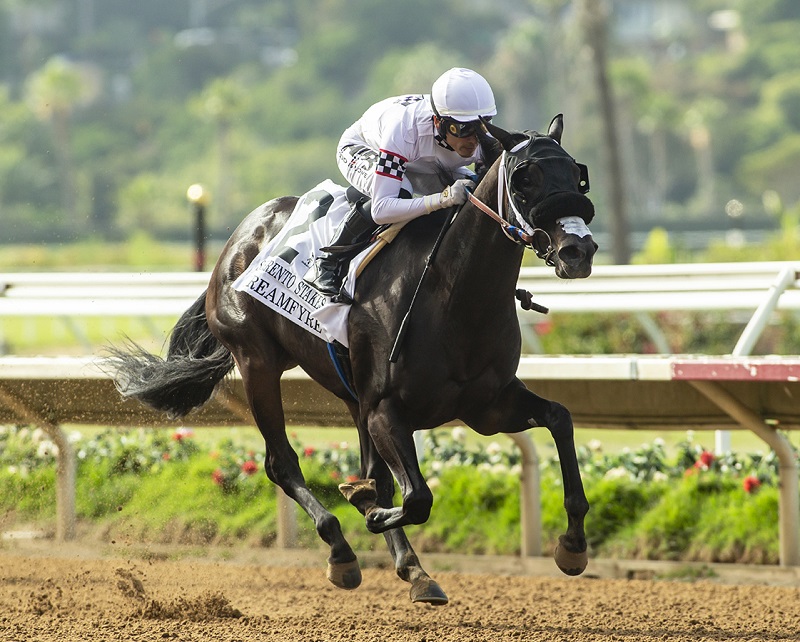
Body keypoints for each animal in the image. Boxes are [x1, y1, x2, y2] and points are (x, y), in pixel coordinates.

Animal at [109, 116, 596, 604]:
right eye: (524, 179)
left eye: (577, 175)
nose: (579, 250)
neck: (454, 295)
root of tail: (238, 239)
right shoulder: (385, 408)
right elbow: (416, 497)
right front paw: (367, 508)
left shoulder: (487, 406)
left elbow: (560, 418)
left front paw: (572, 545)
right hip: (257, 363)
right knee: (281, 463)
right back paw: (342, 551)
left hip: (349, 394)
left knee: (369, 470)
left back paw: (412, 568)